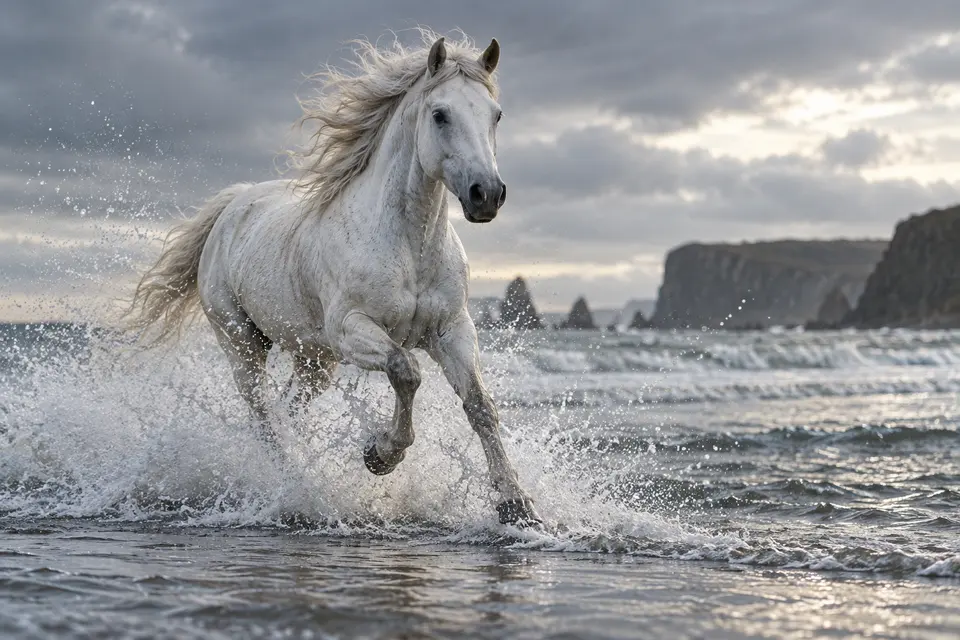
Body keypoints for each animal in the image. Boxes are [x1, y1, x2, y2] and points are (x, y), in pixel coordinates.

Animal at [125, 31, 542, 526]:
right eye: (440, 114)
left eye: (496, 114)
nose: (487, 195)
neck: (409, 246)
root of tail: (233, 205)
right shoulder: (351, 329)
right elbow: (406, 370)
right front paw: (380, 454)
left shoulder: (452, 330)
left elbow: (480, 405)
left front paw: (517, 505)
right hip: (243, 345)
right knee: (266, 418)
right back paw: (292, 483)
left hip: (314, 361)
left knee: (289, 410)